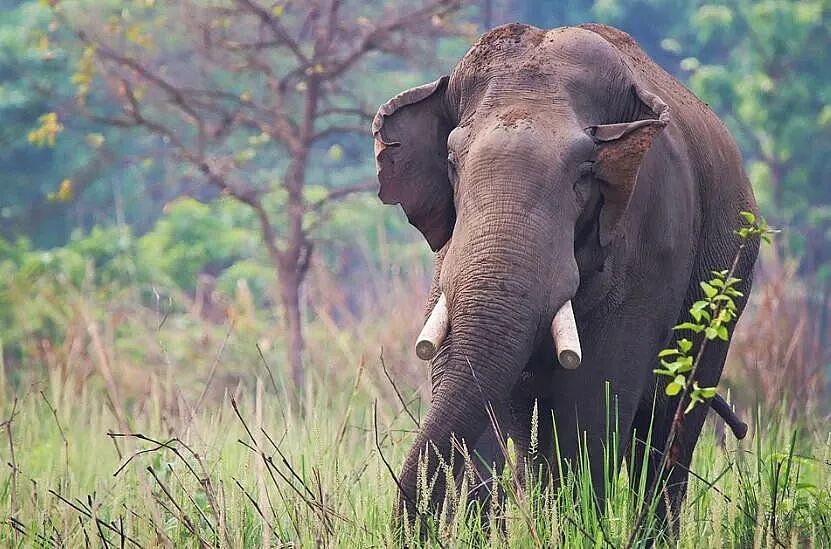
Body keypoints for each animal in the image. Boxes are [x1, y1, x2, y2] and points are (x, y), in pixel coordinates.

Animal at [372, 23, 759, 532]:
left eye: (584, 172)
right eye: (452, 162)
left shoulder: (652, 239)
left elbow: (593, 396)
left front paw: (572, 525)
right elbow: (465, 374)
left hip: (725, 292)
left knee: (669, 430)